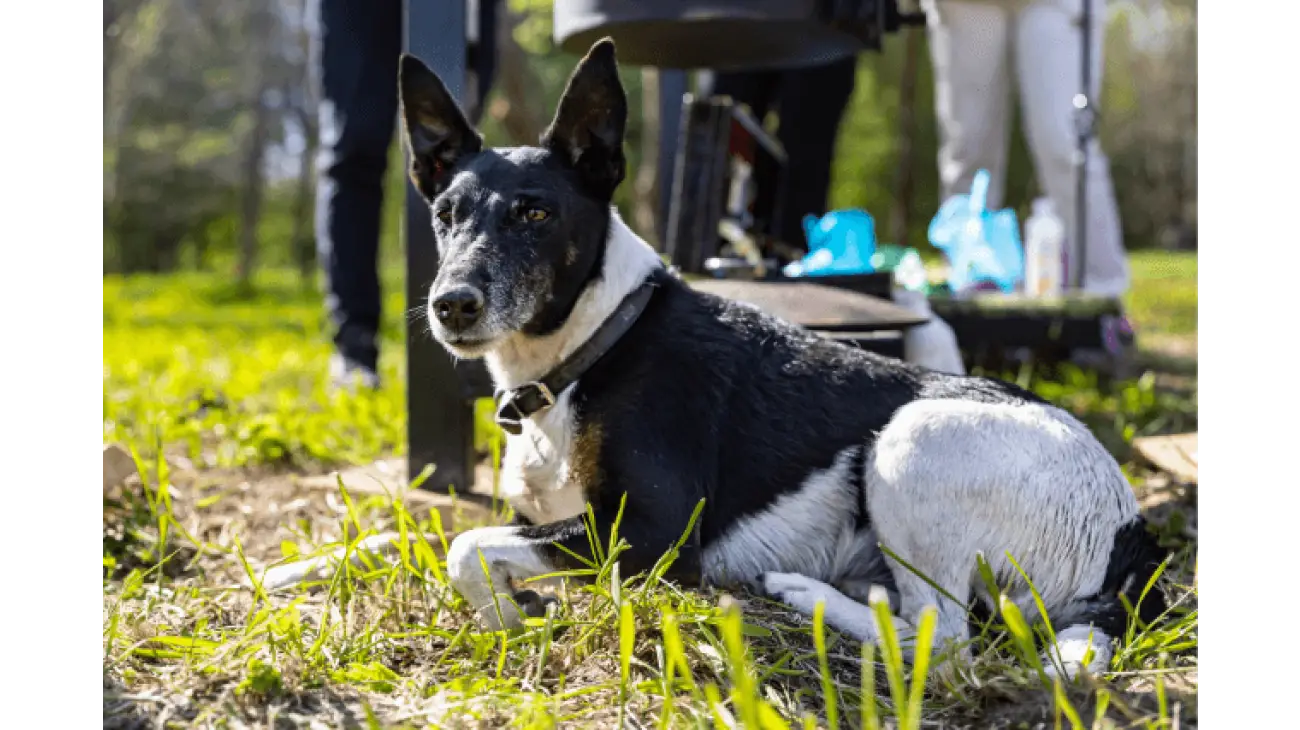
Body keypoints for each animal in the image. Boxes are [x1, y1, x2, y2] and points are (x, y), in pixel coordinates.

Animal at [397, 39, 1170, 675]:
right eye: (445, 216)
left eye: (536, 214)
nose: (451, 305)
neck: (595, 343)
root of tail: (1131, 532)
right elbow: (463, 541)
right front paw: (512, 608)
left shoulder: (652, 535)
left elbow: (466, 546)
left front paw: (507, 611)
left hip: (912, 438)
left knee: (942, 635)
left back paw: (807, 593)